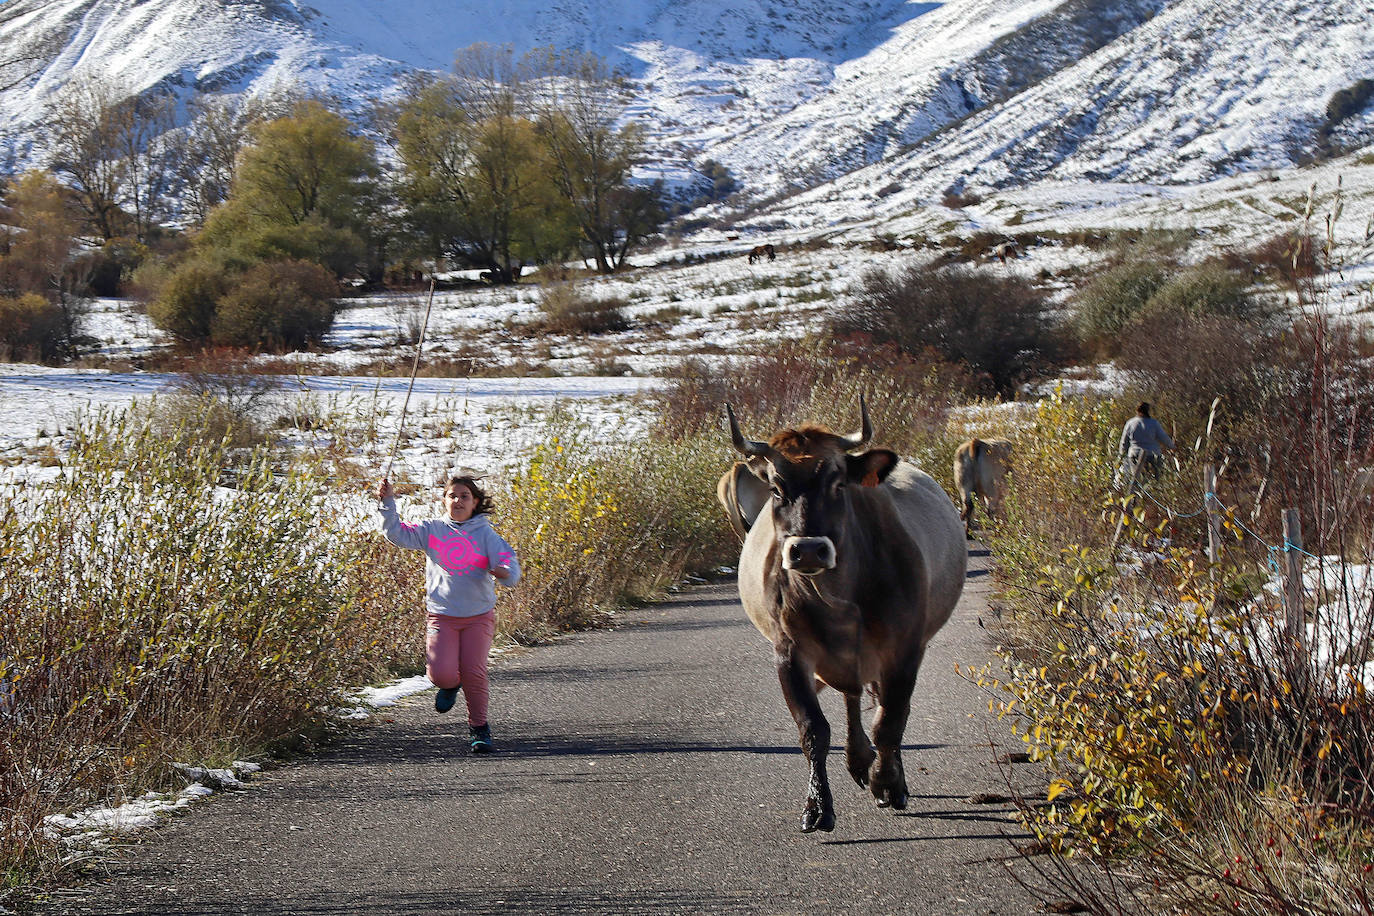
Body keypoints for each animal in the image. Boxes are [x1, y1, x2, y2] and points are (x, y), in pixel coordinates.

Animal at [725, 398, 961, 834]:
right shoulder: (789, 653)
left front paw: (888, 783)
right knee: (852, 698)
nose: (808, 550)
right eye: (776, 487)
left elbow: (890, 721)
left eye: (838, 483)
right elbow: (813, 730)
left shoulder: (904, 650)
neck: (836, 600)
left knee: (881, 708)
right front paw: (817, 806)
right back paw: (857, 759)